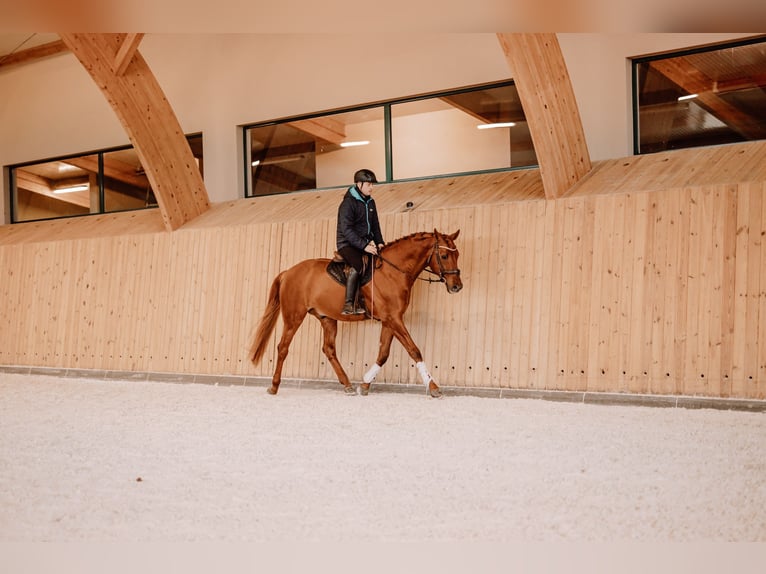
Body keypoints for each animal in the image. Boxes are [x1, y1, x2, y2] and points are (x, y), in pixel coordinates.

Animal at [252, 228, 464, 396]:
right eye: (444, 256)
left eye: (458, 255)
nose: (457, 286)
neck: (393, 272)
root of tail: (288, 272)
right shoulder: (393, 318)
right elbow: (414, 350)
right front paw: (434, 387)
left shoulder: (390, 319)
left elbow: (383, 353)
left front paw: (365, 384)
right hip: (294, 317)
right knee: (283, 347)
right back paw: (274, 386)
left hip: (327, 318)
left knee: (329, 349)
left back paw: (347, 385)